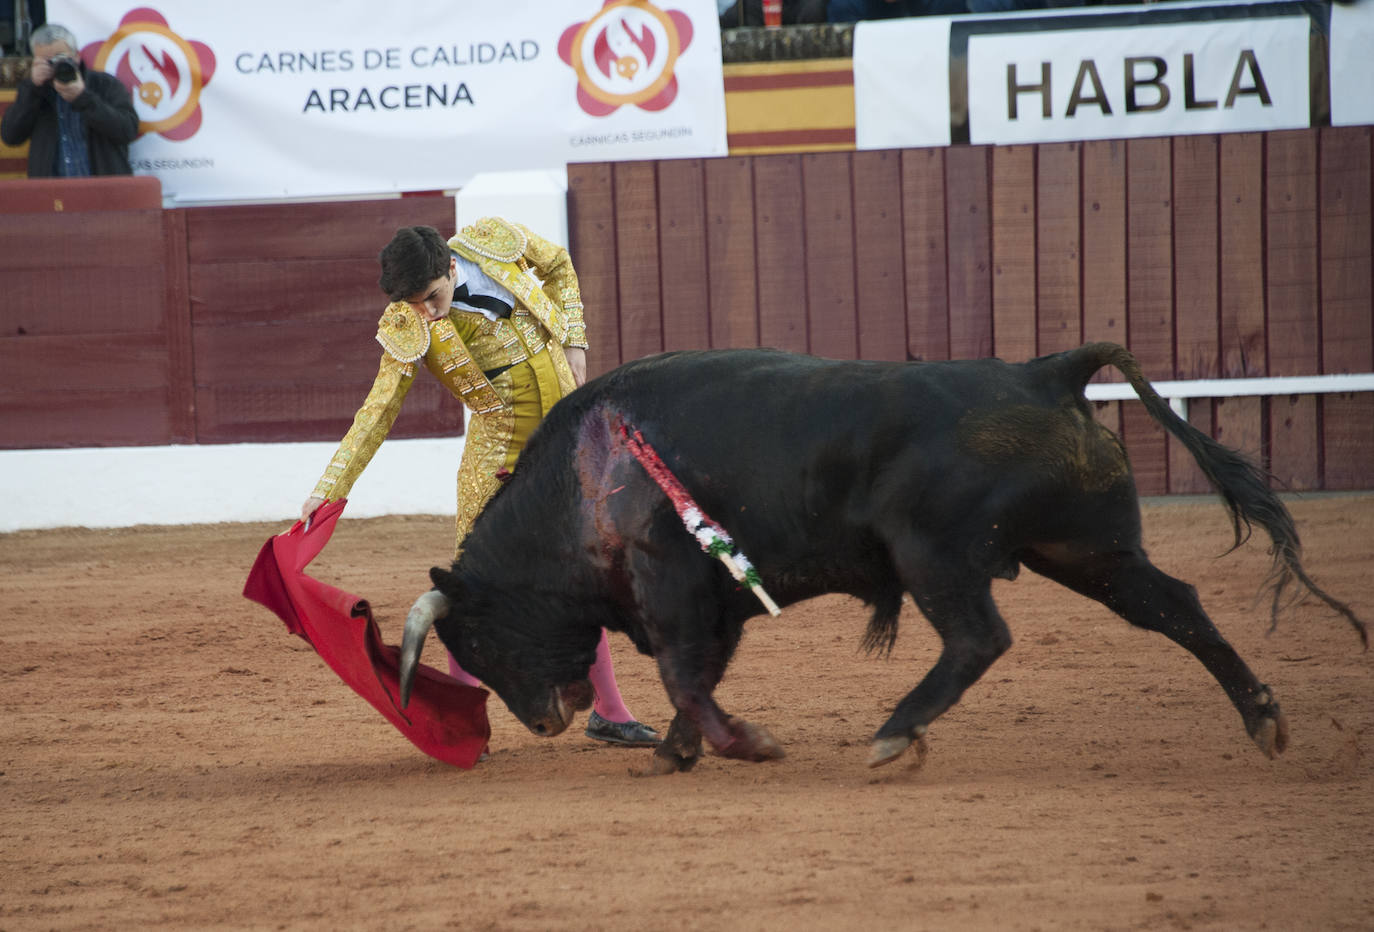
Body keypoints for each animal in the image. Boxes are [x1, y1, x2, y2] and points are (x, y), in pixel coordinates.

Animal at [398, 343, 1363, 775]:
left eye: (477, 640)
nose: (542, 721)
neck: (581, 478)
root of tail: (1044, 371)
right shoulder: (714, 598)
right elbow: (696, 676)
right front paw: (677, 753)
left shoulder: (672, 578)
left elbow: (684, 674)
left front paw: (745, 744)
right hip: (1087, 550)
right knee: (1175, 606)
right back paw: (1263, 716)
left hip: (935, 552)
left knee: (978, 638)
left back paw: (897, 731)